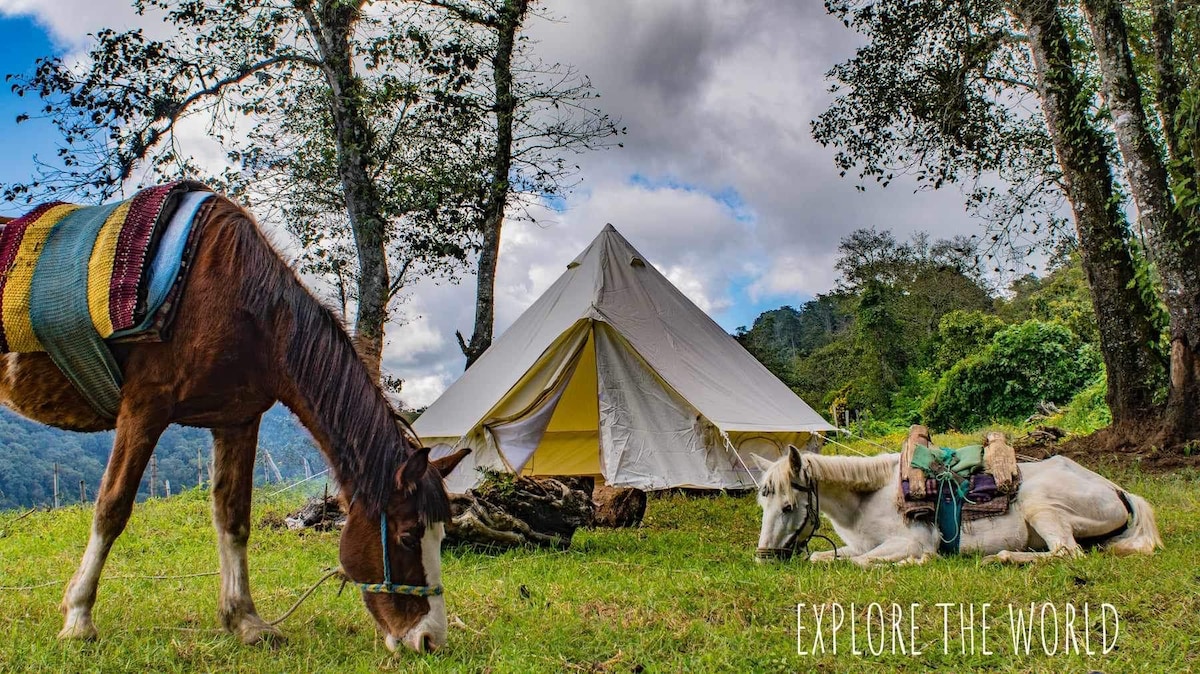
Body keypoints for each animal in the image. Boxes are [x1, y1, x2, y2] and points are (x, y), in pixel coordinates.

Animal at [0, 190, 468, 652]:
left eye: (441, 537)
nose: (430, 639)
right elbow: (112, 508)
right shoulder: (145, 405)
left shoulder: (238, 419)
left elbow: (234, 517)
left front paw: (245, 620)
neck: (243, 302)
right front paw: (79, 617)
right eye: (408, 536)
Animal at [758, 443, 1161, 563]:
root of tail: (1116, 489)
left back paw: (1003, 558)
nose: (764, 557)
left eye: (788, 507)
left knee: (1066, 553)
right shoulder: (855, 544)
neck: (869, 498)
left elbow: (862, 563)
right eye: (764, 507)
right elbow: (820, 557)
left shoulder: (910, 541)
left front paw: (918, 563)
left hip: (1042, 506)